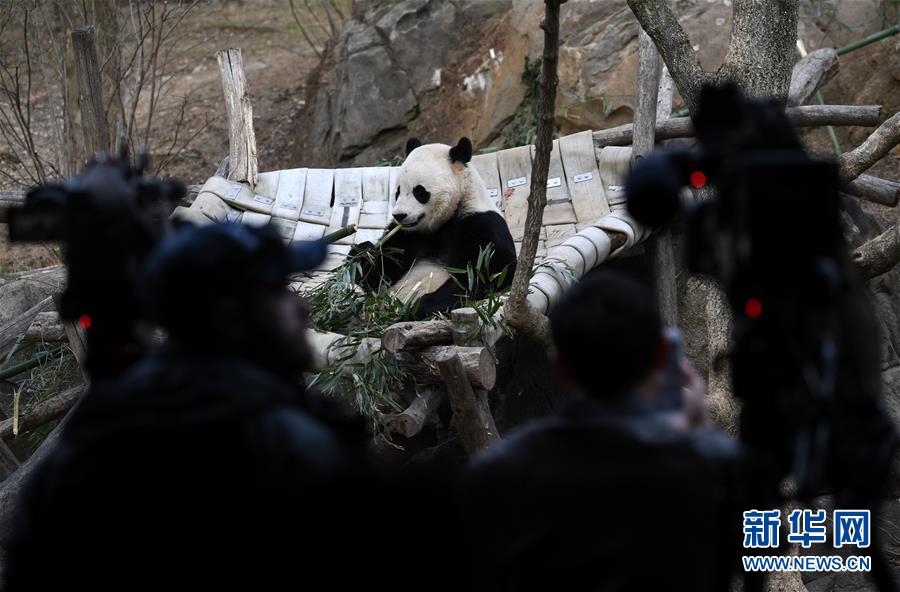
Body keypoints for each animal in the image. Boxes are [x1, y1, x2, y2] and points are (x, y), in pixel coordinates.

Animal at [356, 137, 516, 320]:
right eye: (398, 192)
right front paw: (362, 252)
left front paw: (418, 307)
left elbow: (488, 274)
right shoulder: (408, 235)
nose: (399, 215)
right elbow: (382, 272)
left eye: (419, 191)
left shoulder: (482, 224)